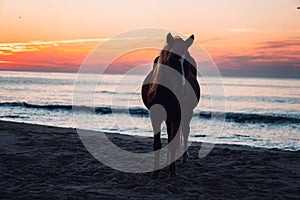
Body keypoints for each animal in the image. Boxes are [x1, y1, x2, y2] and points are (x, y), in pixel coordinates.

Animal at [141, 32, 202, 177]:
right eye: (170, 61)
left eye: (187, 63)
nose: (182, 92)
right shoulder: (155, 116)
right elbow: (157, 144)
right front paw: (155, 172)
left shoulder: (177, 116)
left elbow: (173, 143)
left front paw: (172, 171)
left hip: (187, 113)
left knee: (185, 131)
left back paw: (184, 158)